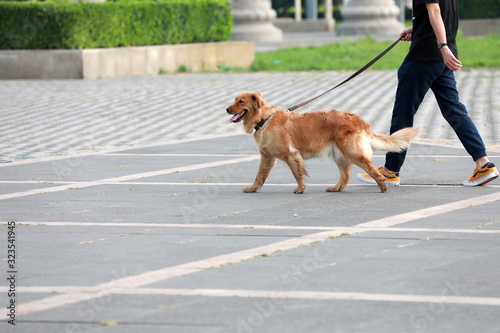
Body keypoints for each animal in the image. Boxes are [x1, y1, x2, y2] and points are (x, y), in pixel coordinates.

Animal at [227, 92, 418, 193]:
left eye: (241, 101)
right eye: (234, 100)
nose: (227, 109)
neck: (264, 119)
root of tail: (359, 119)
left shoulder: (290, 154)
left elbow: (297, 173)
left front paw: (300, 189)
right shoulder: (267, 157)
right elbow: (260, 175)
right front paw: (252, 188)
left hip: (352, 152)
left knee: (371, 169)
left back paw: (382, 186)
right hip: (340, 154)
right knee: (345, 175)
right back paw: (336, 188)